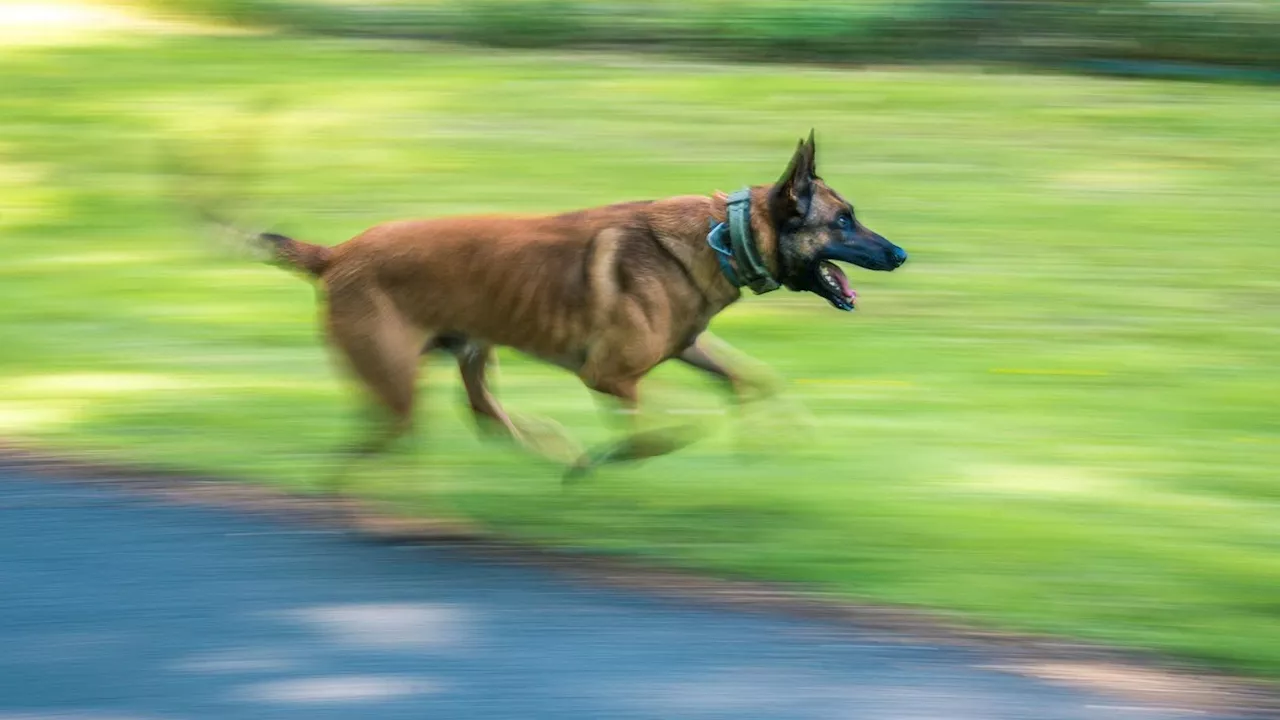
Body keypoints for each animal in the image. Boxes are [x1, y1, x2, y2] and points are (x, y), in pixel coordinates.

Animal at [222, 131, 901, 484]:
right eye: (844, 220)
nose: (900, 253)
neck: (722, 235)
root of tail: (334, 254)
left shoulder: (687, 347)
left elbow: (753, 380)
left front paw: (775, 436)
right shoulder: (610, 376)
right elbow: (657, 435)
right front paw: (602, 460)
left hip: (470, 354)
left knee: (483, 416)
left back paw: (542, 446)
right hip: (397, 383)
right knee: (367, 450)